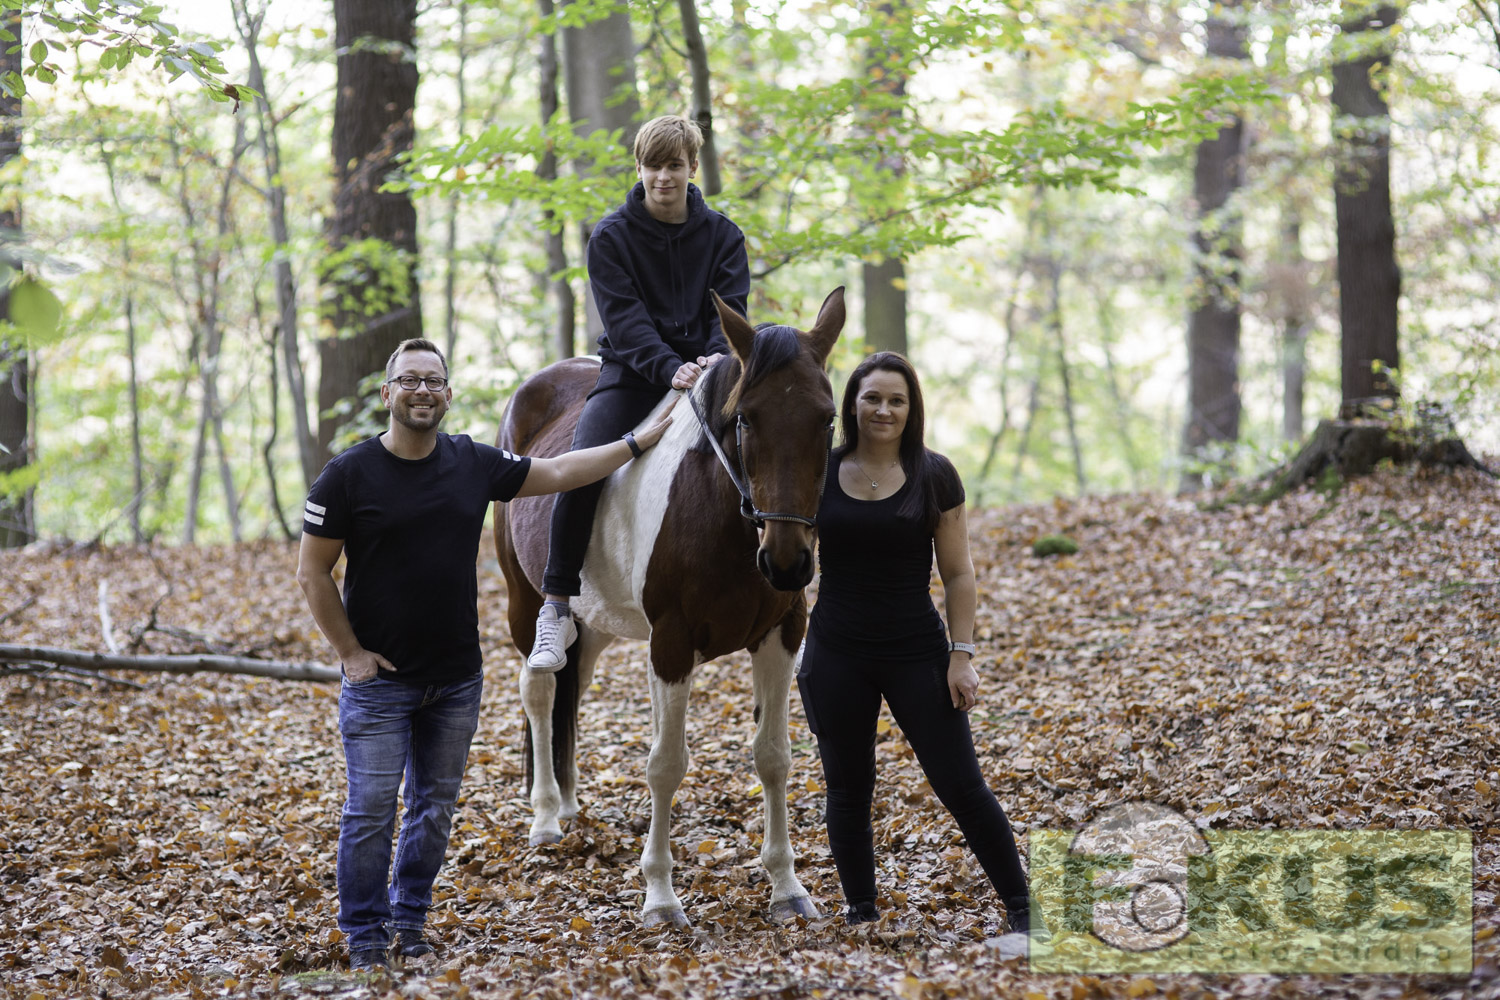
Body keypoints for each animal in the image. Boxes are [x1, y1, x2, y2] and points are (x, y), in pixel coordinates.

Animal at [494, 288, 844, 927]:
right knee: (540, 689)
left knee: (572, 690)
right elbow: (666, 764)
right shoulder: (673, 641)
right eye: (746, 417)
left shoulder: (782, 634)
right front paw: (659, 896)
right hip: (525, 601)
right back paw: (547, 816)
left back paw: (571, 804)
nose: (787, 563)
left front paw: (786, 887)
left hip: (595, 624)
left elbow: (774, 757)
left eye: (827, 418)